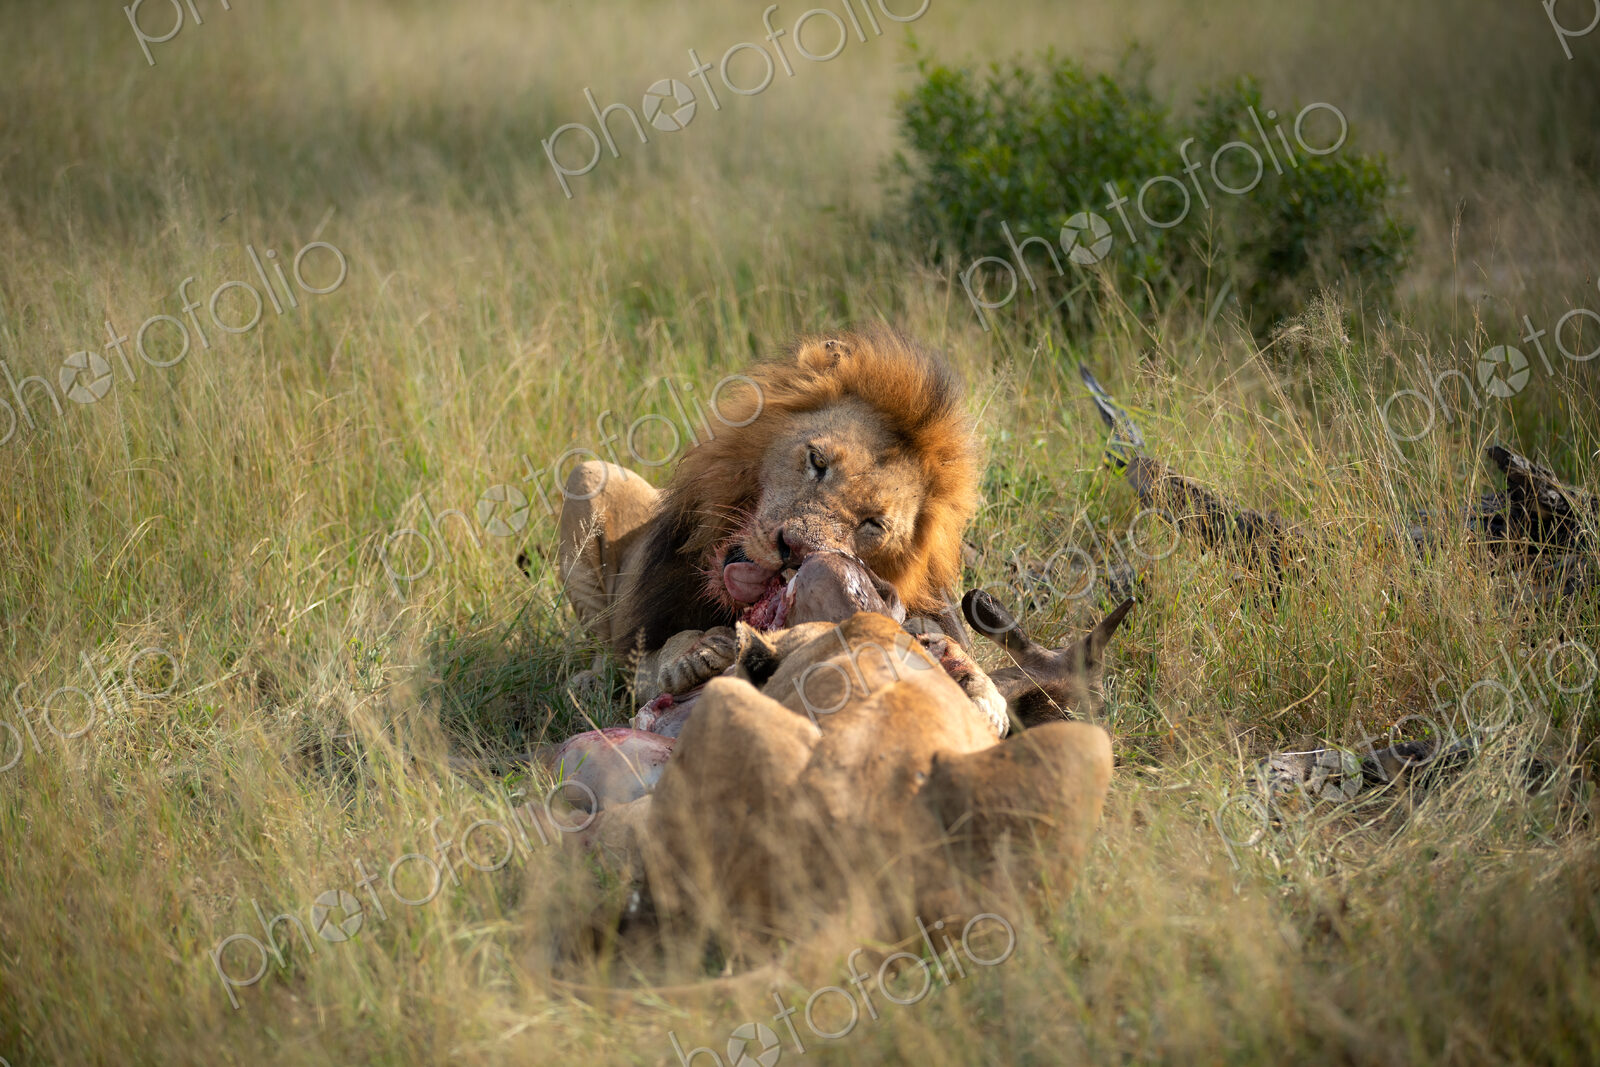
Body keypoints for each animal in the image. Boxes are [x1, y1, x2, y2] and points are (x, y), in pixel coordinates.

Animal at [556, 327, 981, 696]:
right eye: (817, 461)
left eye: (873, 524)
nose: (793, 550)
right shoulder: (638, 647)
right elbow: (666, 646)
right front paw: (696, 654)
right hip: (588, 473)